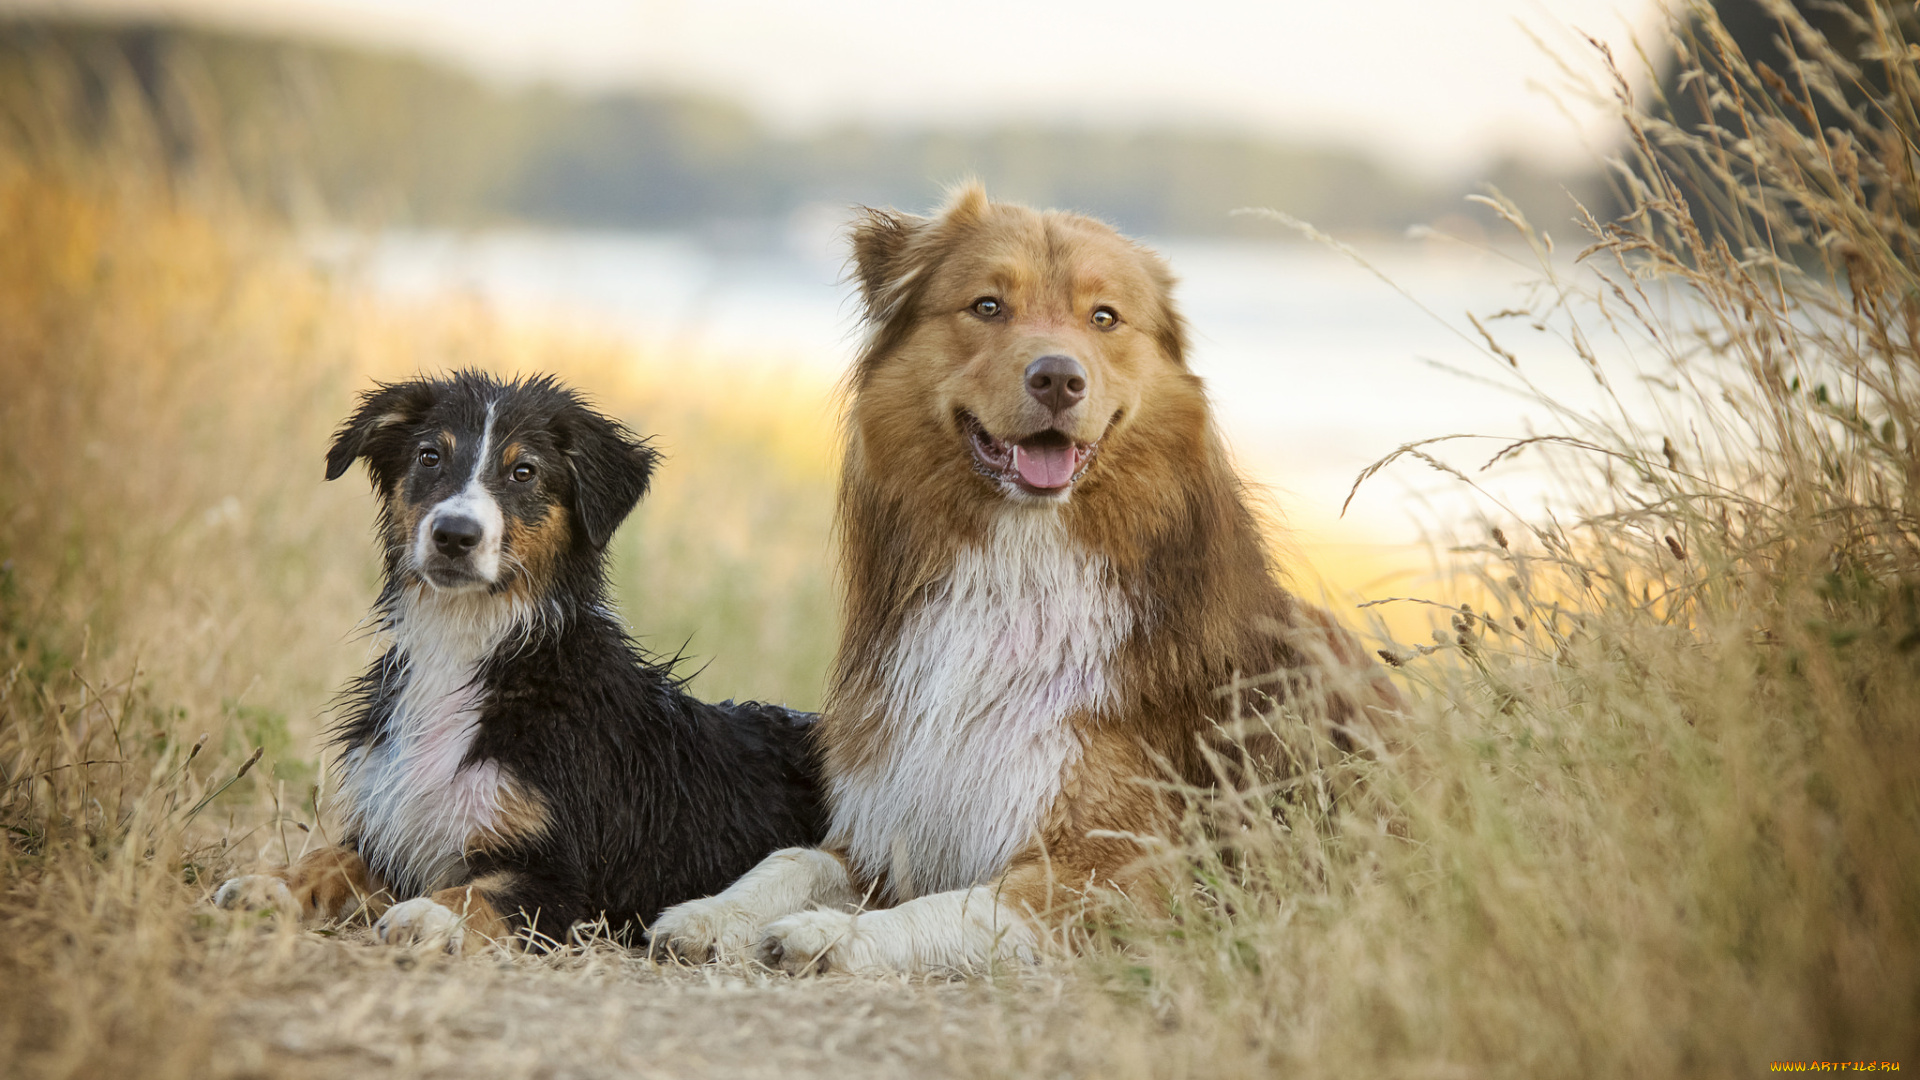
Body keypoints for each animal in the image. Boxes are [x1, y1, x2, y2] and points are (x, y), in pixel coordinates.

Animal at [212, 372, 825, 949]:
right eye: (429, 456)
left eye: (524, 472)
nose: (454, 534)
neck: (470, 649)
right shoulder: (394, 833)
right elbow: (329, 858)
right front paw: (268, 884)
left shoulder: (565, 884)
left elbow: (474, 893)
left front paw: (427, 915)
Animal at [648, 182, 1397, 968]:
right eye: (987, 306)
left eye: (1104, 318)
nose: (1059, 377)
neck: (1017, 572)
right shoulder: (897, 824)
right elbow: (793, 857)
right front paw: (709, 913)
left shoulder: (1123, 873)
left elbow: (953, 906)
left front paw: (833, 935)